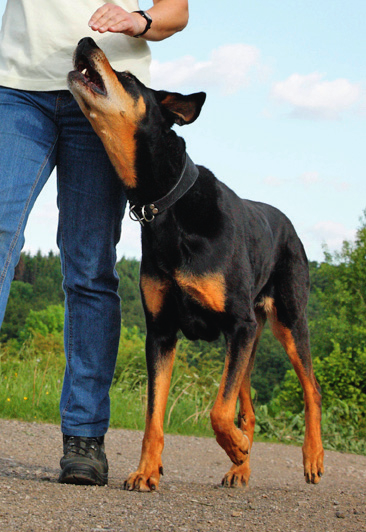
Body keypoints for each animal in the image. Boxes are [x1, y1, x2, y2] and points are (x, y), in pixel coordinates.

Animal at [68, 37, 324, 492]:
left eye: (128, 77)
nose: (86, 40)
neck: (166, 202)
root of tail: (288, 224)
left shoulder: (238, 323)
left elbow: (218, 411)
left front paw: (236, 446)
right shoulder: (162, 332)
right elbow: (155, 415)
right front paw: (146, 471)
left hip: (286, 320)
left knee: (311, 390)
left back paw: (310, 458)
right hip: (252, 338)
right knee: (248, 406)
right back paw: (240, 468)